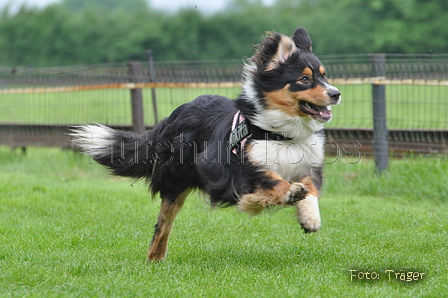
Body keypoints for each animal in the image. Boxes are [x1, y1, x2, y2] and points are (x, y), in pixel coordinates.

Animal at [72, 28, 342, 260]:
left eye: (324, 75)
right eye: (304, 79)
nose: (336, 94)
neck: (282, 135)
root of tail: (173, 115)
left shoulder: (309, 165)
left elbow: (311, 189)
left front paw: (310, 218)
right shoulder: (239, 172)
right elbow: (273, 182)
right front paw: (273, 197)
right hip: (175, 182)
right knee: (163, 223)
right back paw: (154, 258)